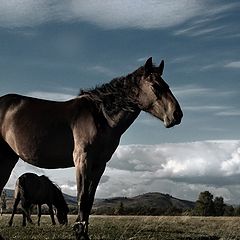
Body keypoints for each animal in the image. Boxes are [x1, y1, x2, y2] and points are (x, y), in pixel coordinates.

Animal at [0, 57, 183, 239]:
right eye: (155, 86)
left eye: (167, 85)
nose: (177, 115)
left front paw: (83, 232)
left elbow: (89, 199)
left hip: (9, 159)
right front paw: (79, 231)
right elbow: (82, 197)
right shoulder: (83, 160)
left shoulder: (99, 165)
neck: (101, 116)